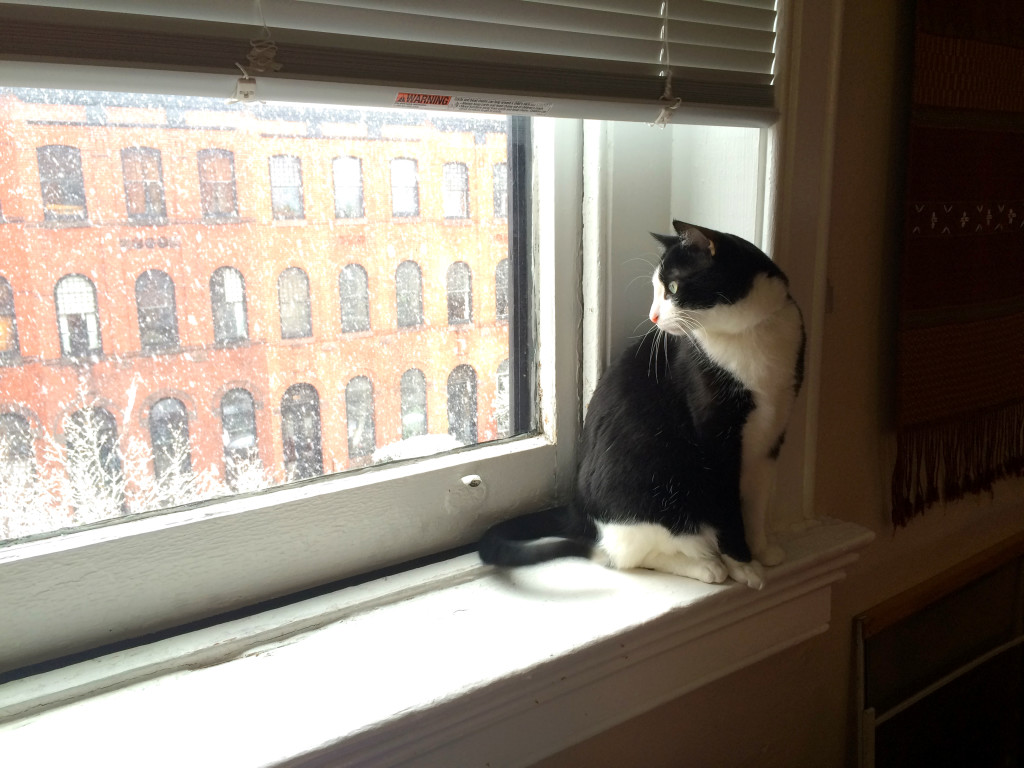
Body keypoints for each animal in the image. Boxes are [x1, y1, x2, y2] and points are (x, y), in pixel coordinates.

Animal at [475, 219, 802, 593]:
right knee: (626, 555)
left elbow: (757, 503)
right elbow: (729, 510)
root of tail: (580, 509)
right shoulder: (717, 446)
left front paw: (762, 549)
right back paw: (706, 566)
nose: (654, 316)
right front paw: (743, 564)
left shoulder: (772, 437)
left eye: (672, 286)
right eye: (658, 289)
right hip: (658, 493)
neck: (750, 337)